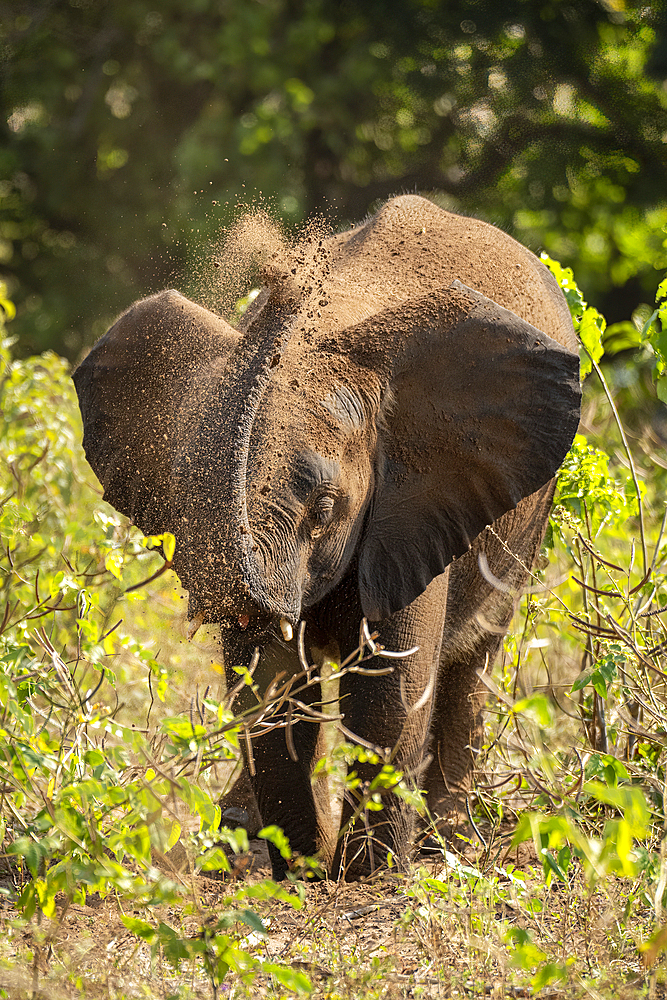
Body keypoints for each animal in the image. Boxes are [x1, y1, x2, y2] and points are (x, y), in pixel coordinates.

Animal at [74, 195, 580, 884]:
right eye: (188, 500)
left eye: (324, 510)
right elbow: (273, 689)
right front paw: (302, 869)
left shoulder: (411, 508)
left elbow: (390, 689)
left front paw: (366, 877)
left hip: (526, 524)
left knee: (472, 662)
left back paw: (445, 849)